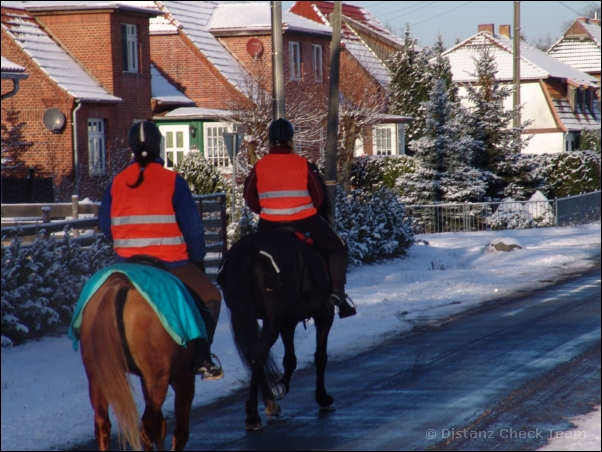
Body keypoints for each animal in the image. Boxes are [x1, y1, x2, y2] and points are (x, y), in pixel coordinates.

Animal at [78, 270, 199, 451]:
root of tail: (119, 284)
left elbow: (161, 426)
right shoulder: (183, 377)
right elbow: (180, 432)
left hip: (97, 377)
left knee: (102, 423)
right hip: (158, 379)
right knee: (146, 425)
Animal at [217, 179, 337, 430]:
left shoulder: (287, 321)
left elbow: (289, 358)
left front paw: (282, 386)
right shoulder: (324, 314)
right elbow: (319, 356)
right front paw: (322, 397)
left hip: (247, 315)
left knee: (254, 354)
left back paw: (267, 404)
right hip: (272, 319)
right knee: (259, 354)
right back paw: (254, 413)